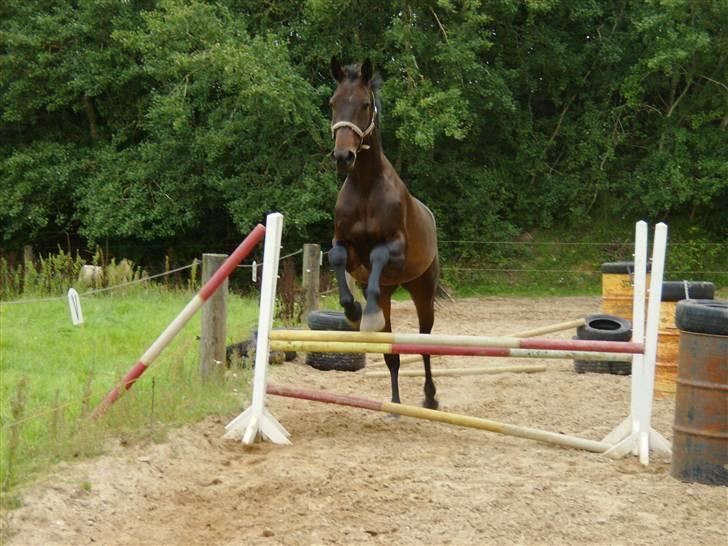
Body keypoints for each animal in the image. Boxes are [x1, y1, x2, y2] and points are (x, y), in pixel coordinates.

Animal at [328, 58, 440, 408]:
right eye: (333, 103)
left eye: (365, 105)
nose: (343, 157)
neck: (366, 185)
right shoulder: (347, 248)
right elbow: (336, 256)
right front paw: (352, 310)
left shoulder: (396, 250)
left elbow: (378, 253)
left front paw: (363, 313)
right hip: (391, 294)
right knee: (392, 351)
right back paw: (393, 404)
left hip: (422, 289)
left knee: (425, 340)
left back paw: (430, 399)